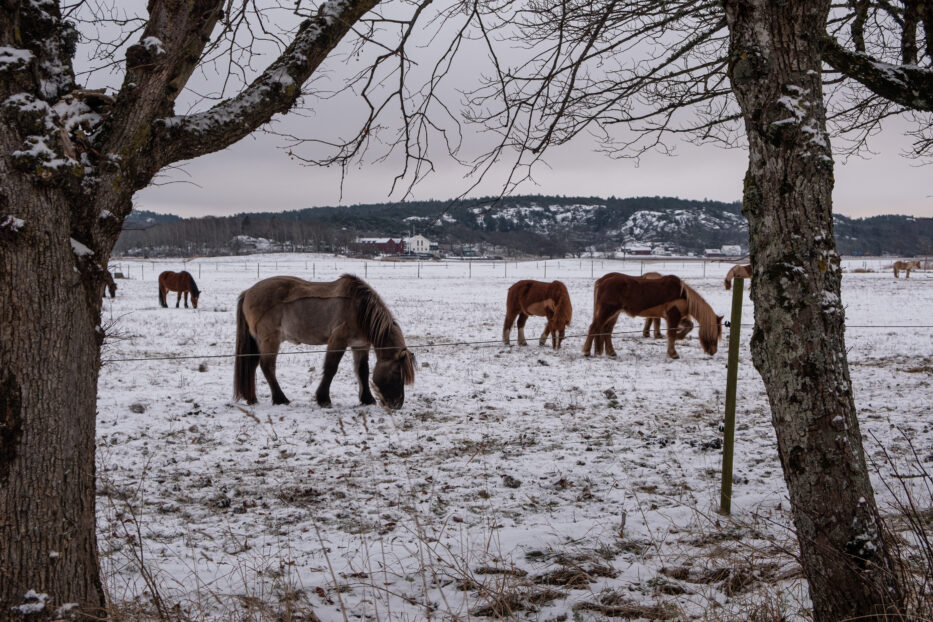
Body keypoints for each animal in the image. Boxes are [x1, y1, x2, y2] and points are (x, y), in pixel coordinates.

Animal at [233, 276, 416, 412]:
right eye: (397, 372)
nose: (397, 404)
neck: (359, 309)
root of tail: (248, 292)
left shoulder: (360, 345)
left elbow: (362, 371)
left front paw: (367, 399)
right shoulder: (338, 340)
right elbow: (331, 368)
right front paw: (324, 399)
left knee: (253, 366)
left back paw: (252, 399)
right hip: (270, 340)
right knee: (267, 367)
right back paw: (280, 399)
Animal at [584, 272, 720, 360]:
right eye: (714, 333)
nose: (713, 352)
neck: (682, 294)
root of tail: (602, 281)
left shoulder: (675, 317)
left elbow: (688, 326)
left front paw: (679, 337)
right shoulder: (673, 316)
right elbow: (671, 333)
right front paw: (673, 353)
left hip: (614, 314)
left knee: (607, 331)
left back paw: (611, 352)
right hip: (607, 311)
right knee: (594, 327)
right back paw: (586, 351)